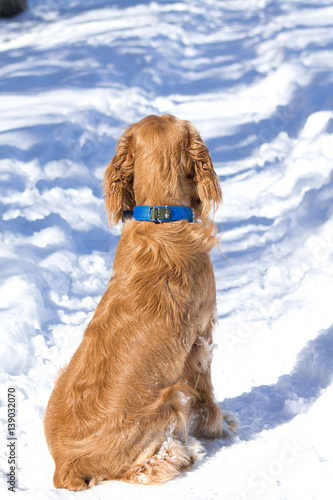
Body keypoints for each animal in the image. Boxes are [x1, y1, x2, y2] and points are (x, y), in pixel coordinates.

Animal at [44, 114, 236, 492]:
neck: (162, 218)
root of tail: (64, 466)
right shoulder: (201, 335)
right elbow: (206, 391)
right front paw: (219, 428)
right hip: (168, 400)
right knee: (148, 467)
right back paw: (183, 453)